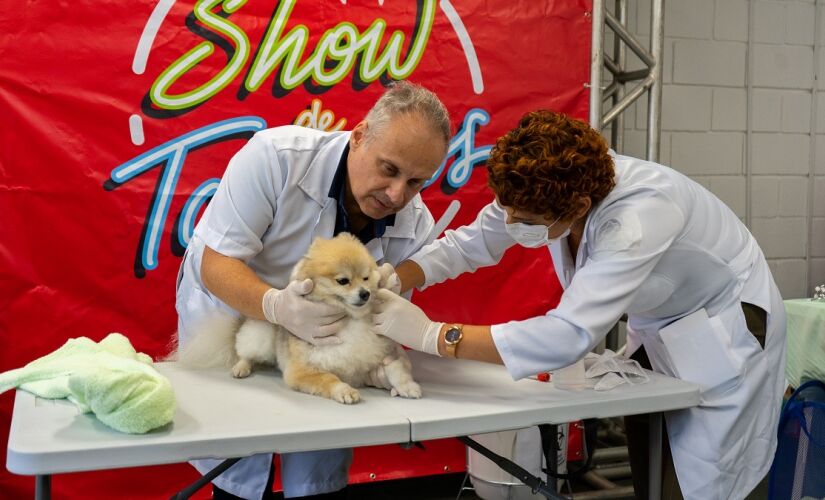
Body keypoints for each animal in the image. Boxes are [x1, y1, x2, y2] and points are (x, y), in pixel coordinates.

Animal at [181, 232, 424, 404]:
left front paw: (407, 386)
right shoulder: (302, 372)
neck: (350, 321)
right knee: (244, 352)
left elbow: (396, 369)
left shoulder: (380, 358)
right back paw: (242, 367)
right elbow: (329, 378)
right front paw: (345, 390)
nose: (365, 293)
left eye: (366, 277)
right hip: (261, 333)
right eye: (343, 281)